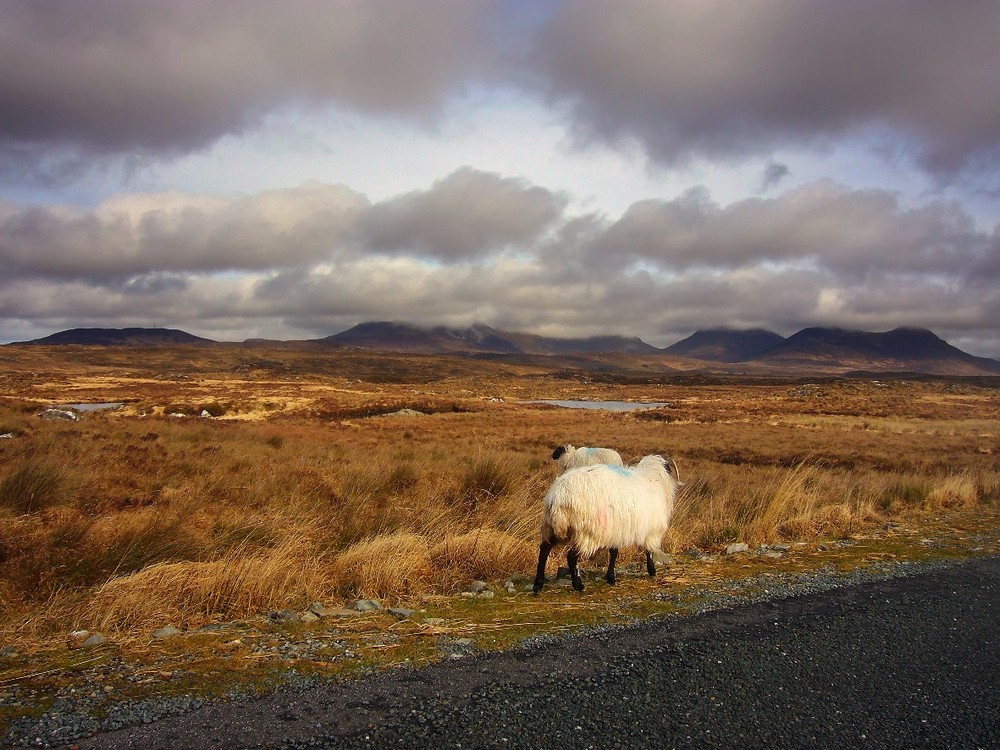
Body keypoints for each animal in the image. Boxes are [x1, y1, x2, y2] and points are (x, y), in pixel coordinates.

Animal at [532, 456, 680, 596]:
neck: (654, 478)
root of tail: (559, 497)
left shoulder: (615, 530)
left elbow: (614, 552)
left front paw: (611, 578)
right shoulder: (650, 530)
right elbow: (648, 550)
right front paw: (652, 570)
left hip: (551, 528)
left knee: (544, 550)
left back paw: (538, 585)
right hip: (586, 531)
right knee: (571, 557)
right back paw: (578, 585)